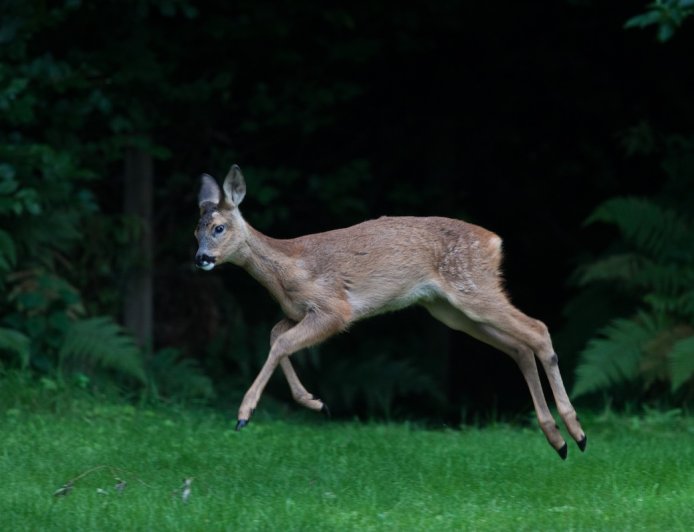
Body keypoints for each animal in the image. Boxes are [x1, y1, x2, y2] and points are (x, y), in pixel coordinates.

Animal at [194, 164, 587, 459]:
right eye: (195, 231)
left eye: (218, 227)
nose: (201, 258)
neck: (286, 270)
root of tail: (494, 241)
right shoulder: (297, 312)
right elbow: (276, 335)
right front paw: (315, 403)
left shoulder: (335, 308)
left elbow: (282, 343)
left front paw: (244, 415)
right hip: (451, 311)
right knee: (520, 346)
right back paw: (559, 440)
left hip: (473, 288)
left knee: (538, 329)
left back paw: (576, 432)